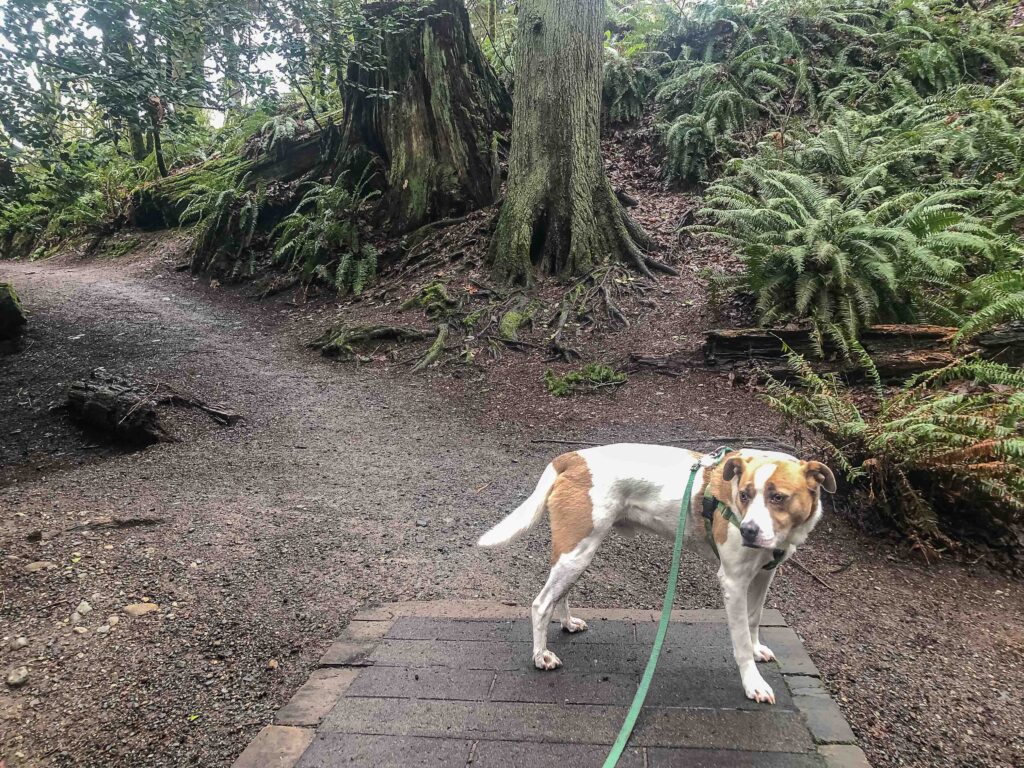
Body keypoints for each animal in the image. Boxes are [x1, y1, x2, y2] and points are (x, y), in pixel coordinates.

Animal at [475, 444, 835, 704]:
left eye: (778, 497)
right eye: (744, 495)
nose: (747, 530)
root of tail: (573, 457)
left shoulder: (762, 576)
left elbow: (754, 619)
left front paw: (758, 648)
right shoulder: (733, 582)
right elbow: (740, 642)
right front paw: (753, 683)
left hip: (578, 553)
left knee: (558, 595)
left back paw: (566, 623)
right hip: (577, 551)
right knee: (540, 604)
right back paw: (541, 656)